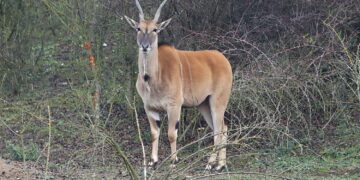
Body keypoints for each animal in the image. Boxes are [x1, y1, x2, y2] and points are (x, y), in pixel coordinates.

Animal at [124, 0, 233, 170]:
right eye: (138, 28)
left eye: (155, 29)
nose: (145, 46)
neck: (152, 78)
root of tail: (223, 58)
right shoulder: (149, 107)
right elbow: (154, 133)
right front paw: (153, 161)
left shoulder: (174, 105)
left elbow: (171, 134)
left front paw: (173, 161)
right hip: (204, 104)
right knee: (222, 128)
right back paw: (220, 164)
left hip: (218, 101)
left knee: (218, 130)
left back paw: (211, 164)